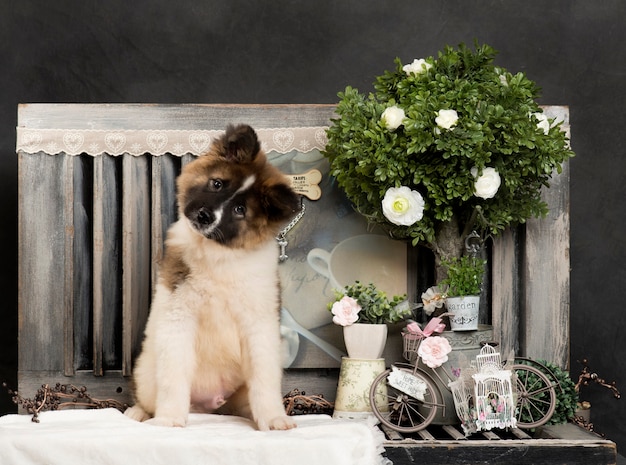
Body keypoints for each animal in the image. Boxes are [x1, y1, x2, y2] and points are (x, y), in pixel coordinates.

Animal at [124, 124, 300, 432]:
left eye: (240, 210)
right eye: (217, 184)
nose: (206, 216)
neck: (218, 256)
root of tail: (208, 405)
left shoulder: (259, 325)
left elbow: (265, 380)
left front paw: (273, 418)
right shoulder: (178, 318)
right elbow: (173, 377)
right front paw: (169, 418)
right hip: (146, 372)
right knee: (148, 397)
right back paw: (139, 413)